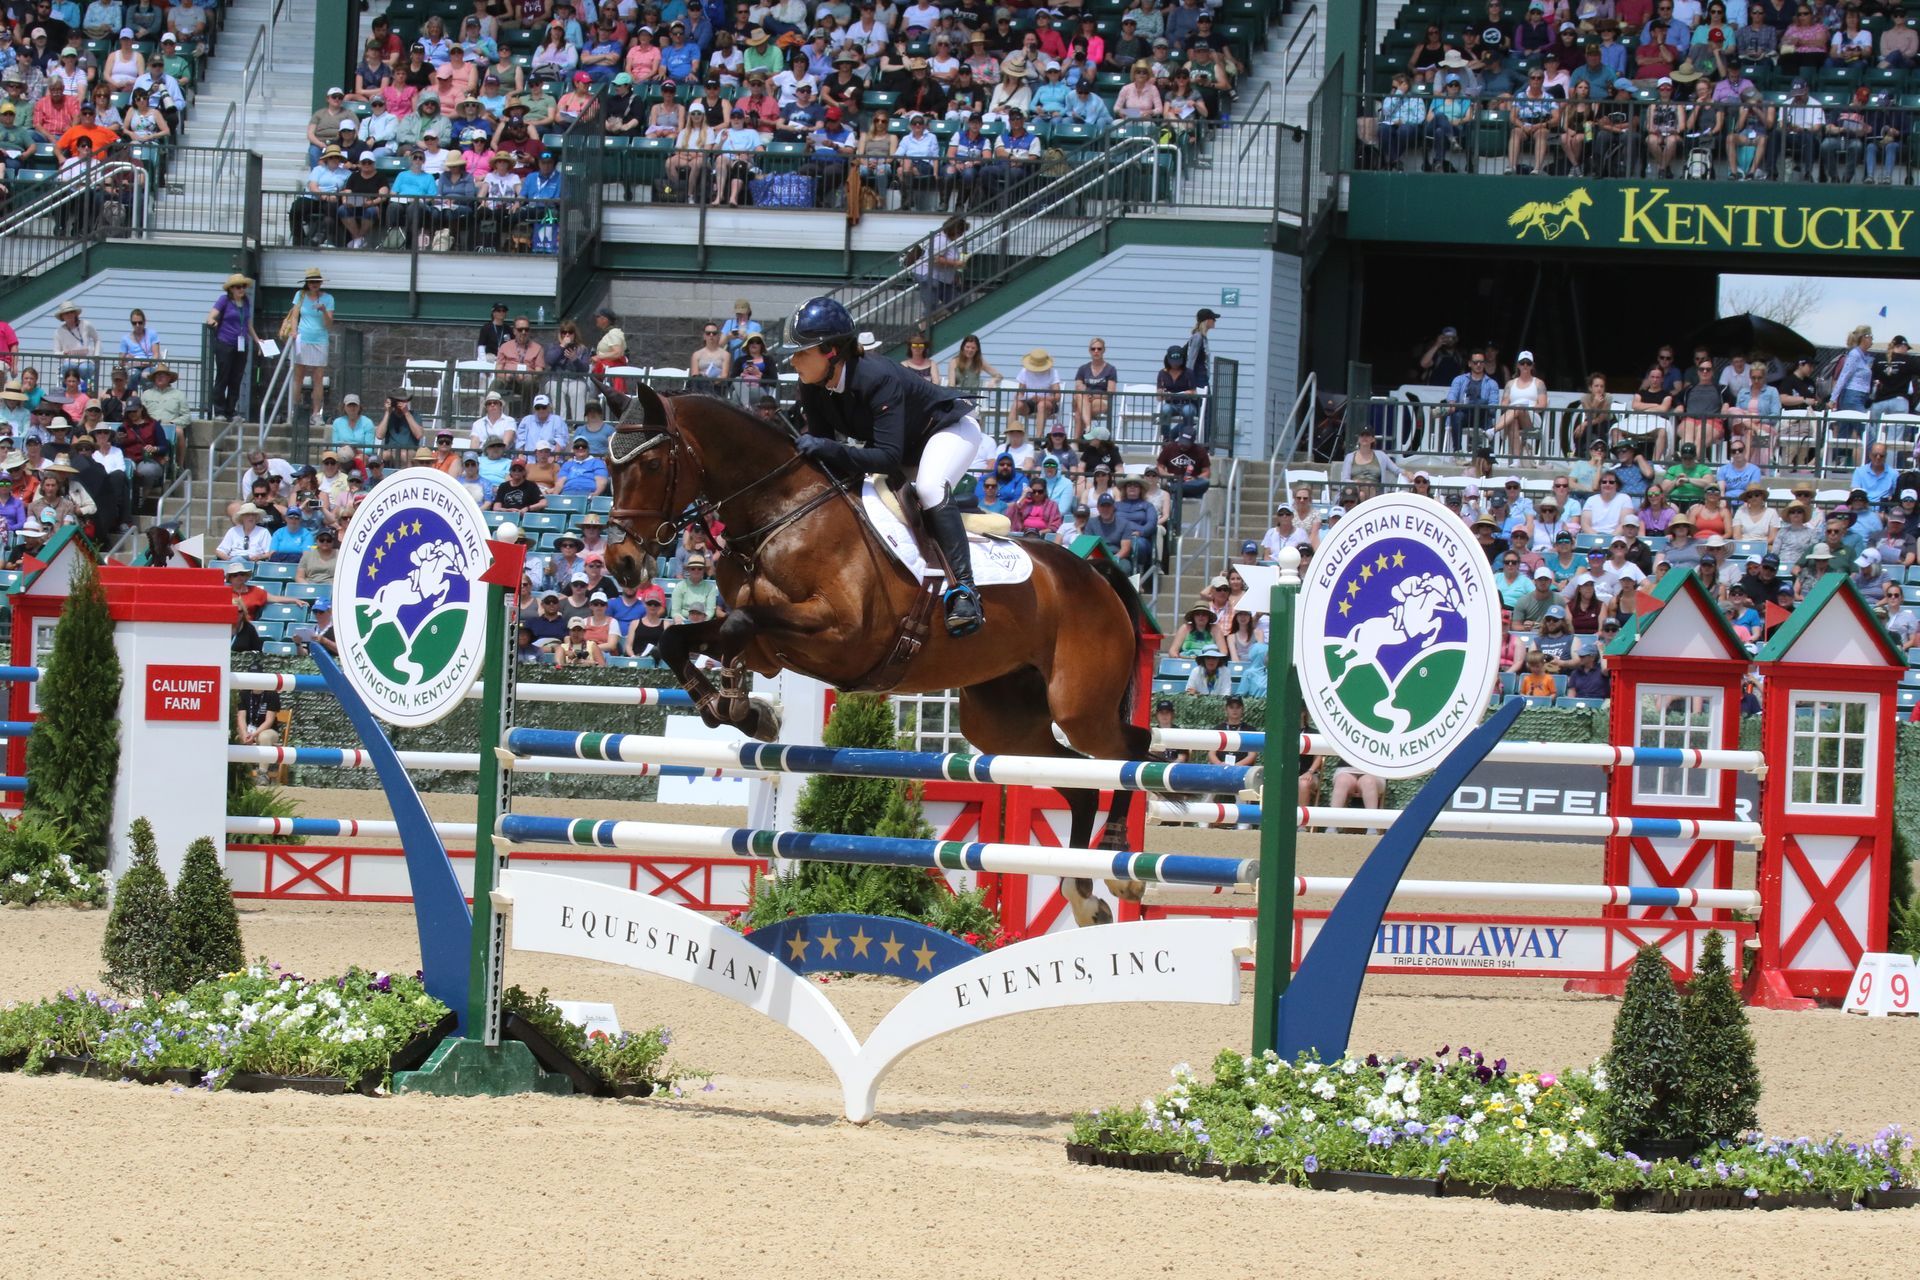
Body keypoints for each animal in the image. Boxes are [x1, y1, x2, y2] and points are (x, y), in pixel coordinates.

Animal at [602, 385, 1152, 924]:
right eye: (611, 467)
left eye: (651, 465)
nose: (622, 563)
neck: (783, 512)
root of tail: (1094, 573)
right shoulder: (770, 648)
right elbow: (681, 639)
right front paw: (740, 710)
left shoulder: (841, 636)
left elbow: (739, 624)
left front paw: (742, 706)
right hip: (1004, 724)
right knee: (1080, 783)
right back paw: (1084, 894)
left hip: (1078, 706)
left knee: (1133, 750)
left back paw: (1122, 868)